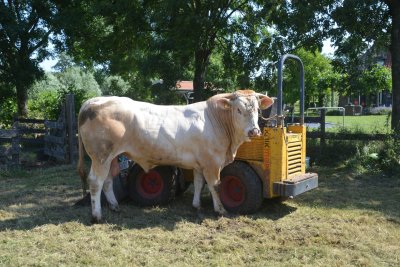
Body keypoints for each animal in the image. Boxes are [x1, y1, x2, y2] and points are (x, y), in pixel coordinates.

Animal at [76, 90, 274, 224]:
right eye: (238, 110)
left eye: (257, 109)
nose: (254, 131)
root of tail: (93, 101)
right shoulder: (212, 163)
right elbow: (215, 186)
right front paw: (220, 210)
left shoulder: (200, 162)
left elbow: (199, 183)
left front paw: (197, 205)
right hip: (100, 156)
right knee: (95, 182)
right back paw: (97, 216)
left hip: (110, 158)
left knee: (108, 181)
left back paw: (115, 206)